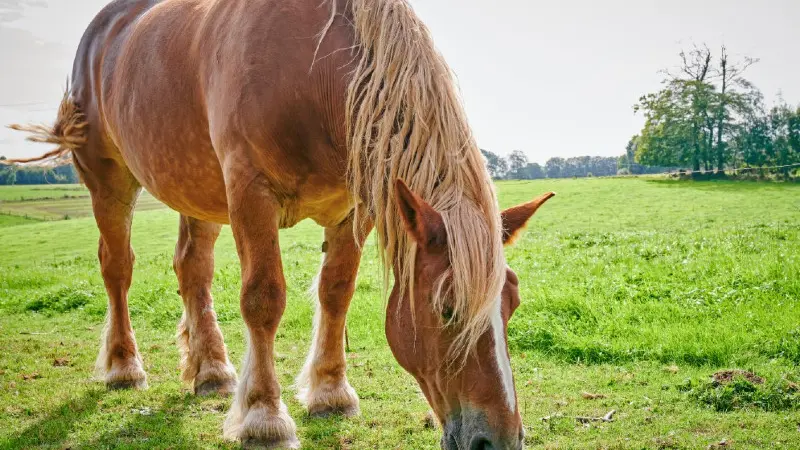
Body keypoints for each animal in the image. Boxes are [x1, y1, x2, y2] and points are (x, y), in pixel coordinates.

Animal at [7, 0, 556, 446]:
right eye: (446, 309)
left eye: (512, 303)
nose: (501, 440)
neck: (309, 71)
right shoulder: (250, 194)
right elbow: (263, 300)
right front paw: (264, 418)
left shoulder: (353, 209)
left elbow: (337, 292)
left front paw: (331, 391)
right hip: (110, 182)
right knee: (117, 267)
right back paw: (124, 366)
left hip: (196, 185)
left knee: (192, 269)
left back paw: (212, 371)